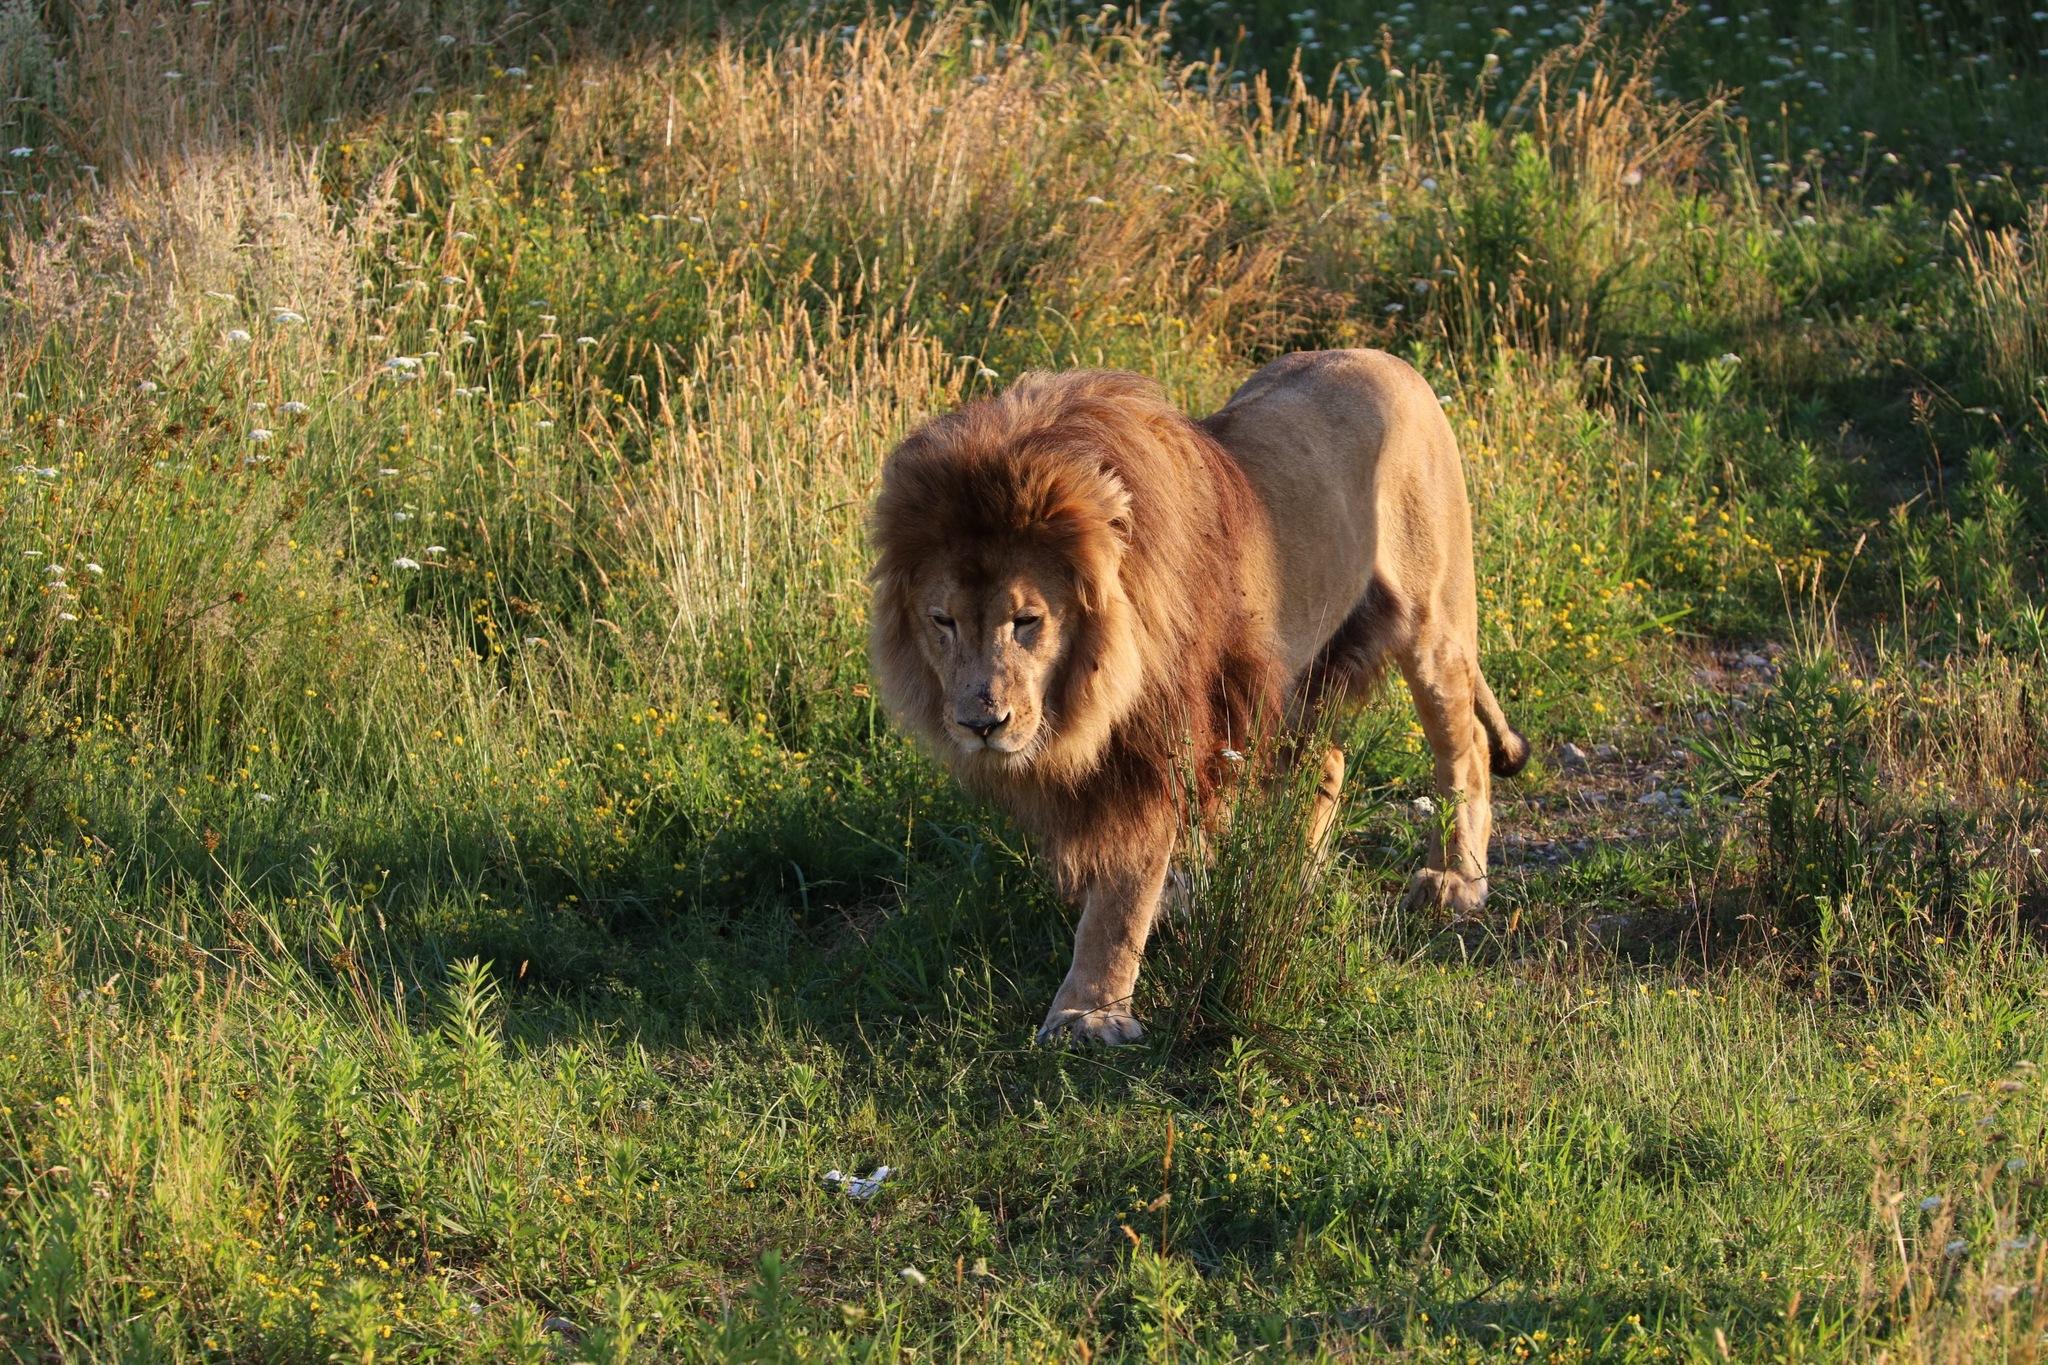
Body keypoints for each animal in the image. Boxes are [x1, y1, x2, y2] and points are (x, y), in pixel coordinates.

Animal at [864, 351, 1523, 1047]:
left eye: (1027, 621)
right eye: (942, 621)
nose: (980, 724)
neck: (1089, 698)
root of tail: (1393, 362)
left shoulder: (1163, 737)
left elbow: (1123, 890)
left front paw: (1089, 1012)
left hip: (1434, 624)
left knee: (1465, 751)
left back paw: (1456, 880)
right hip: (1299, 669)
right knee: (1328, 761)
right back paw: (1288, 875)